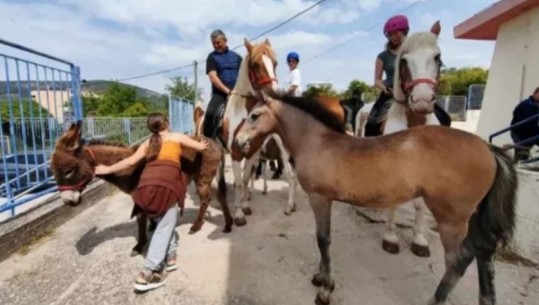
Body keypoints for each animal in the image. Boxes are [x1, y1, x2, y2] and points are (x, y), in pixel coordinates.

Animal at [51, 120, 234, 255]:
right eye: (53, 173)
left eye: (67, 171)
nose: (68, 202)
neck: (127, 168)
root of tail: (213, 143)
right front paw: (152, 226)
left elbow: (140, 217)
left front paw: (140, 245)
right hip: (212, 176)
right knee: (221, 196)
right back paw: (228, 225)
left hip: (202, 177)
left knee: (206, 199)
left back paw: (196, 226)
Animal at [235, 92, 520, 304]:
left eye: (255, 115)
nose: (237, 141)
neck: (317, 141)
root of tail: (489, 148)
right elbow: (323, 239)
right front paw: (319, 277)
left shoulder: (320, 198)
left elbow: (323, 240)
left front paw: (326, 288)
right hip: (473, 216)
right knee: (484, 251)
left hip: (451, 218)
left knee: (458, 260)